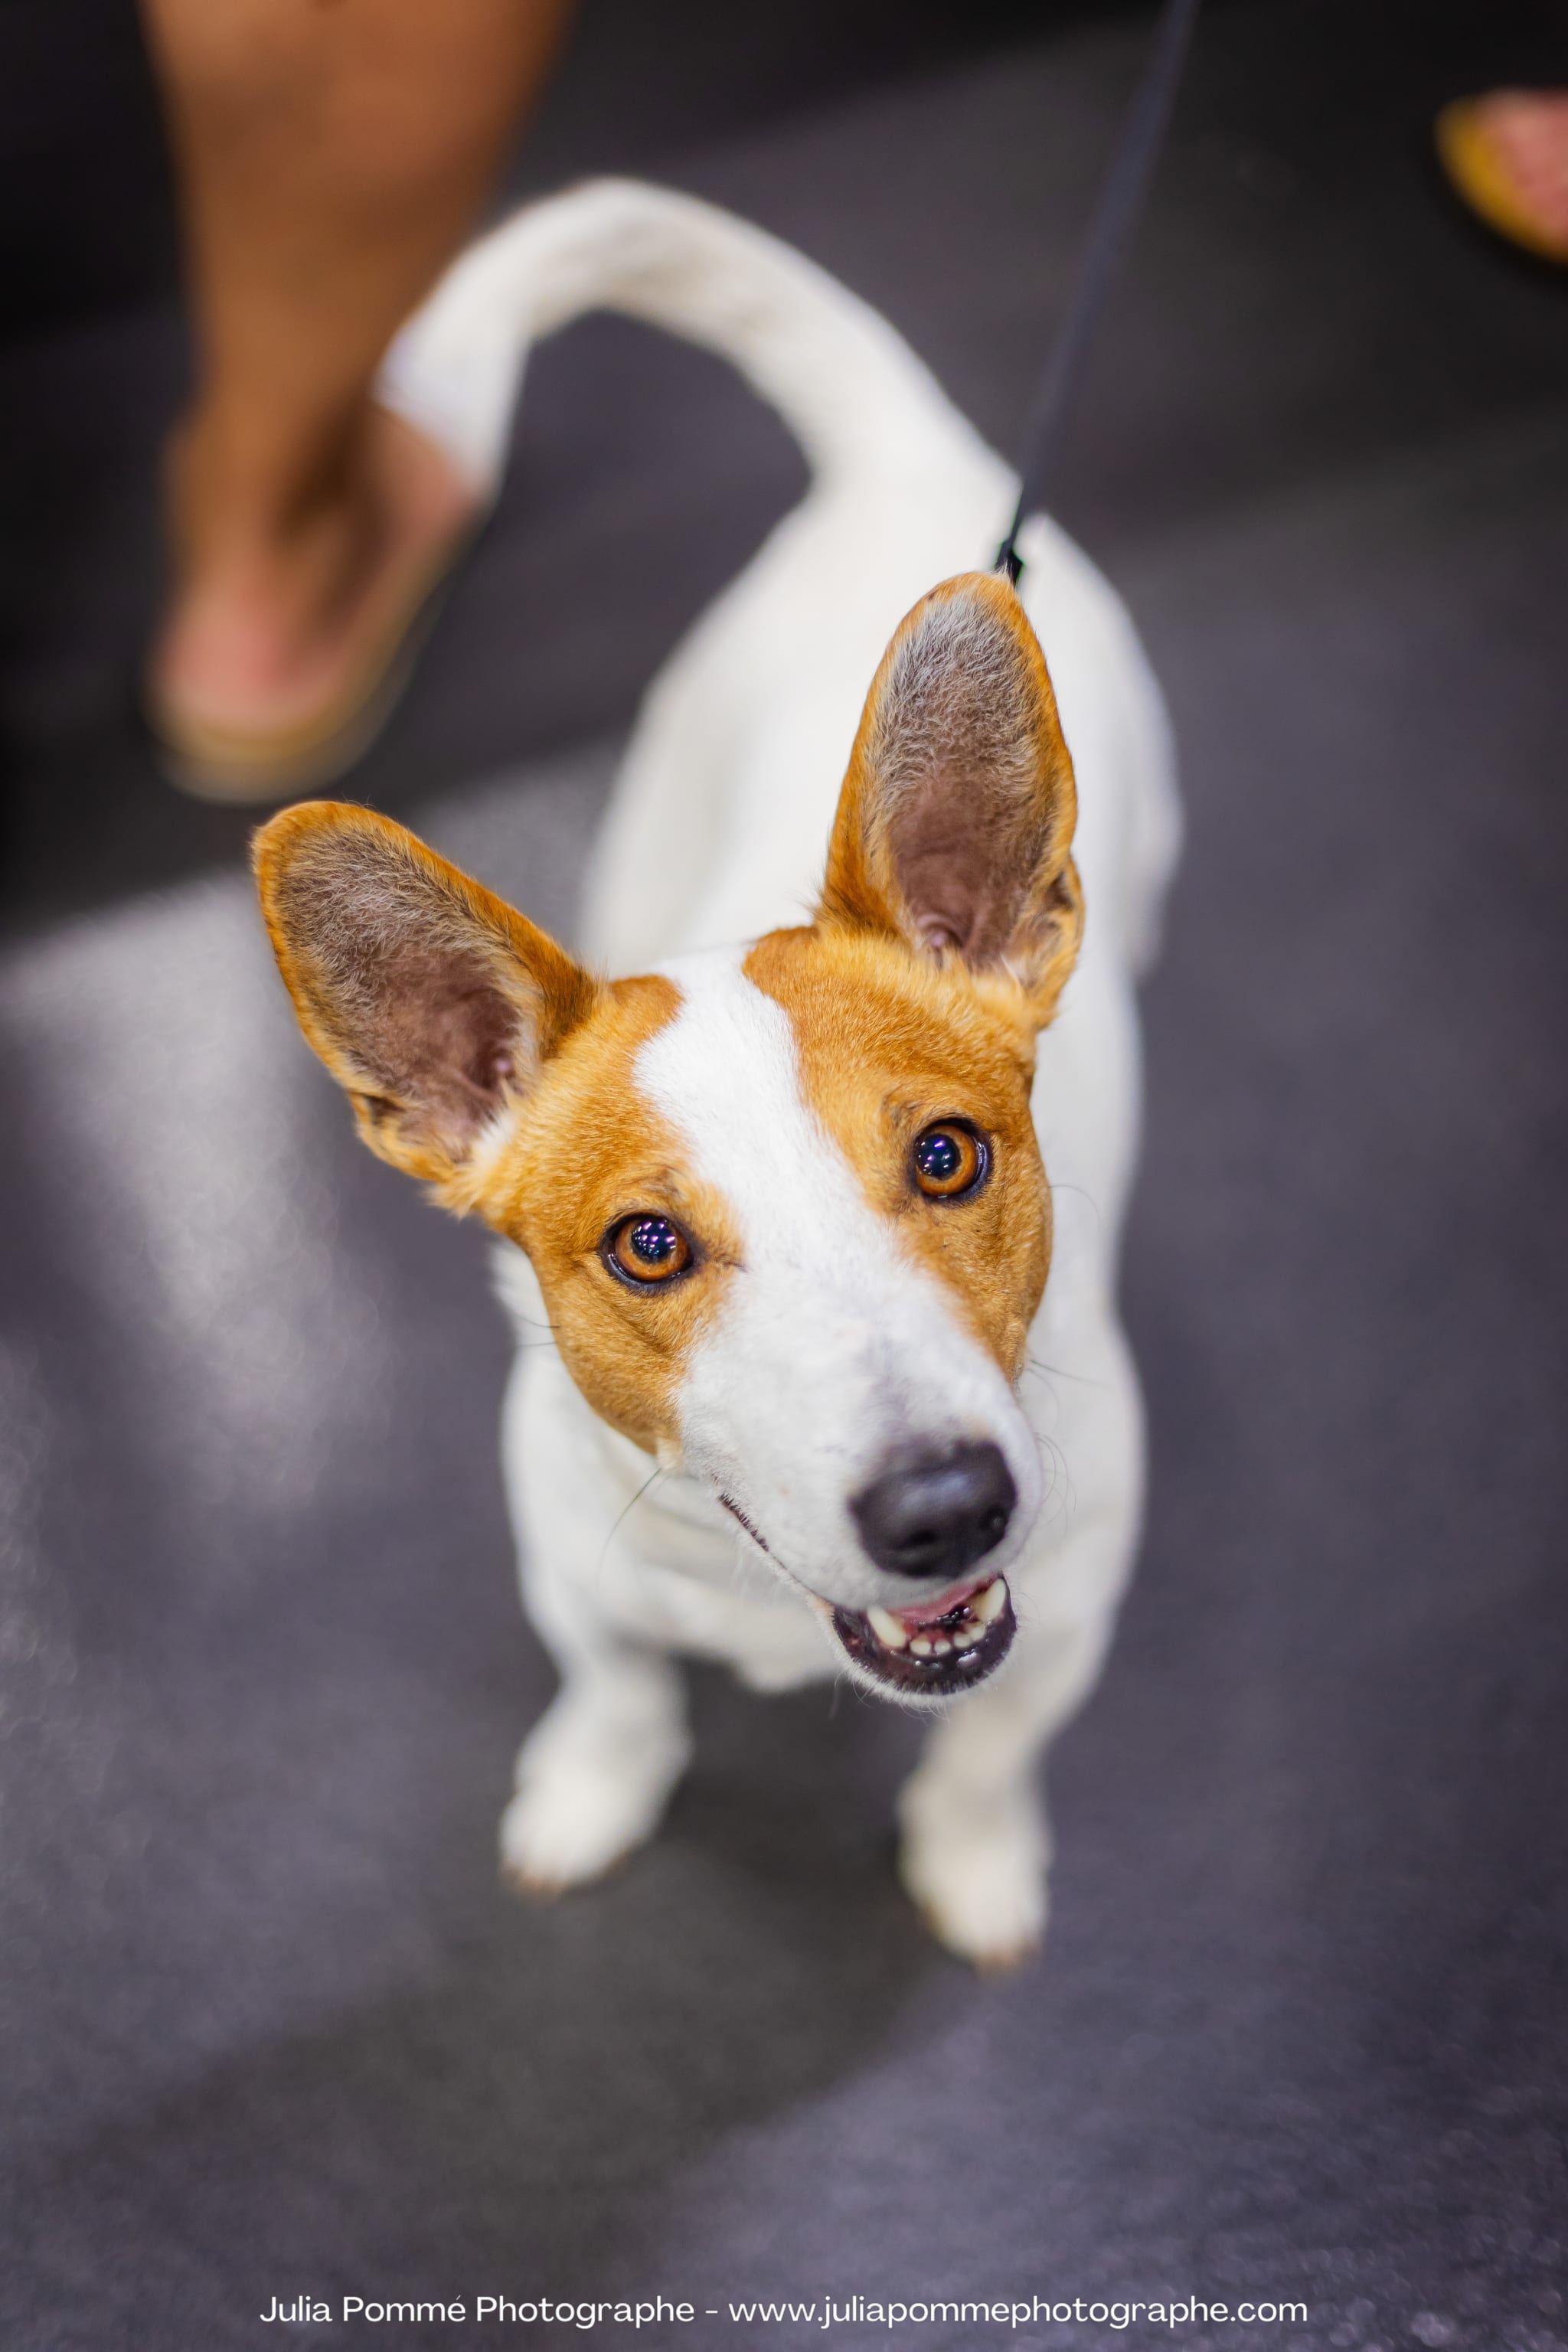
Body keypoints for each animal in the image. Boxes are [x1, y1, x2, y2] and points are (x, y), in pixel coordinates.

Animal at [255, 178, 1175, 1966]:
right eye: (647, 1247)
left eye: (949, 1156)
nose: (944, 1509)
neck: (775, 1603)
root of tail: (904, 454)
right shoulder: (567, 1554)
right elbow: (612, 1685)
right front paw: (591, 1789)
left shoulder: (1076, 1600)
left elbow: (989, 1748)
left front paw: (975, 1854)